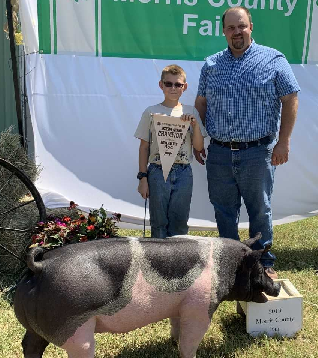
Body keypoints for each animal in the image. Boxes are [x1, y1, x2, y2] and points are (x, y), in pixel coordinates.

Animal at [13, 235, 280, 358]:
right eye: (259, 269)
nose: (276, 287)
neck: (226, 267)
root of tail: (40, 267)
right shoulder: (199, 306)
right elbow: (191, 340)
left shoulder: (180, 306)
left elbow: (176, 327)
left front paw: (172, 342)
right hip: (76, 330)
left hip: (34, 326)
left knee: (29, 344)